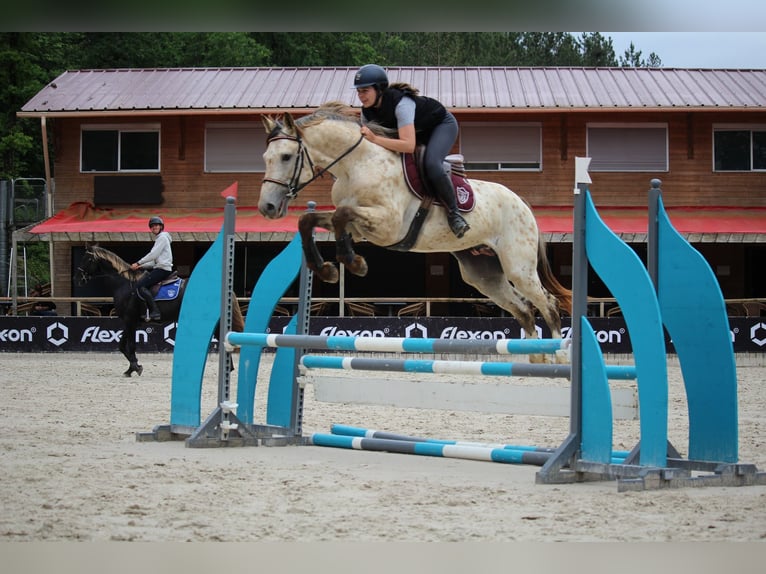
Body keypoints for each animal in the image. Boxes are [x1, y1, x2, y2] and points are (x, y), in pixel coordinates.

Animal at [74, 246, 243, 378]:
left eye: (87, 259)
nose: (78, 279)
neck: (124, 284)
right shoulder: (130, 321)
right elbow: (122, 346)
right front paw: (131, 368)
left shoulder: (129, 320)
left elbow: (131, 346)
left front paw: (135, 367)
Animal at [260, 101, 572, 362]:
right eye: (266, 157)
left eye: (286, 156)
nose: (268, 207)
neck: (357, 164)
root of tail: (522, 203)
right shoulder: (361, 228)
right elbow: (310, 220)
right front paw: (326, 269)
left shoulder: (387, 225)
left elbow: (341, 215)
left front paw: (354, 263)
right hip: (483, 274)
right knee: (523, 309)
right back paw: (536, 359)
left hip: (518, 266)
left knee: (548, 304)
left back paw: (559, 357)